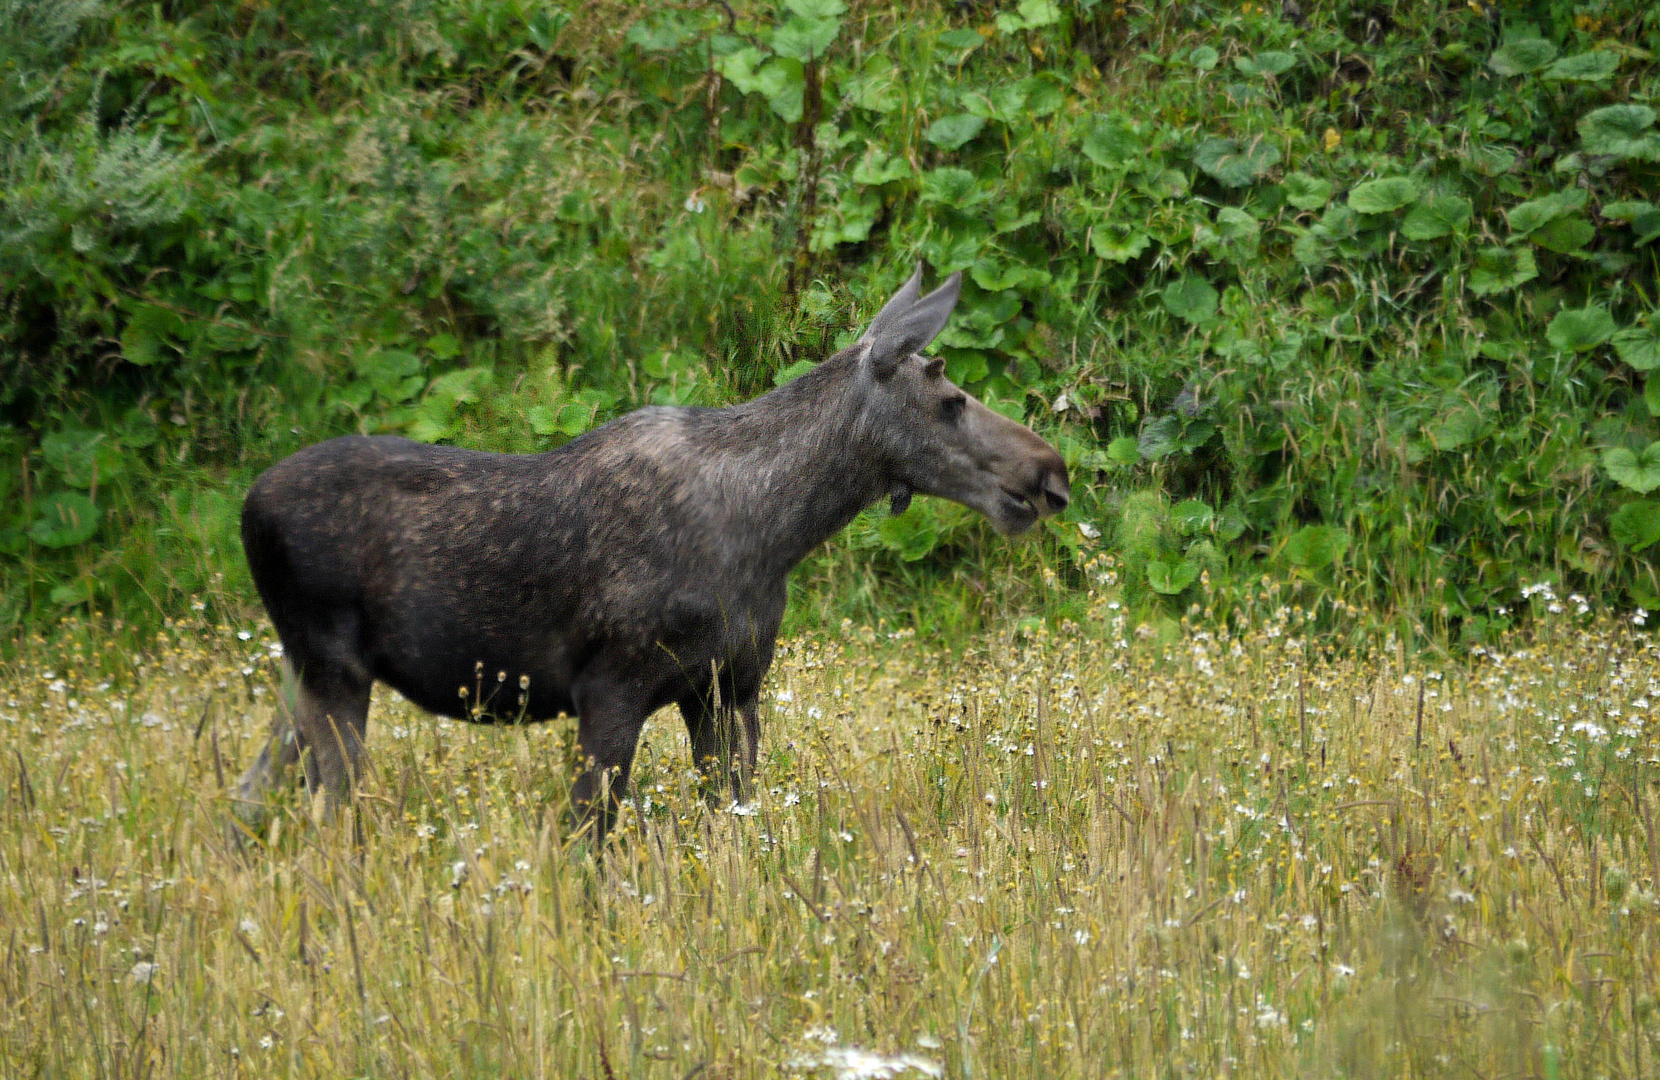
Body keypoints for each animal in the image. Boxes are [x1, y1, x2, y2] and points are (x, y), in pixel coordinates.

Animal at [234, 265, 1069, 839]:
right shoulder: (611, 687)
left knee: (251, 794)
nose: (1051, 473)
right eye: (950, 400)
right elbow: (588, 841)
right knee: (327, 818)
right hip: (332, 667)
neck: (777, 531)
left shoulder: (728, 688)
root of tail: (246, 508)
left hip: (304, 673)